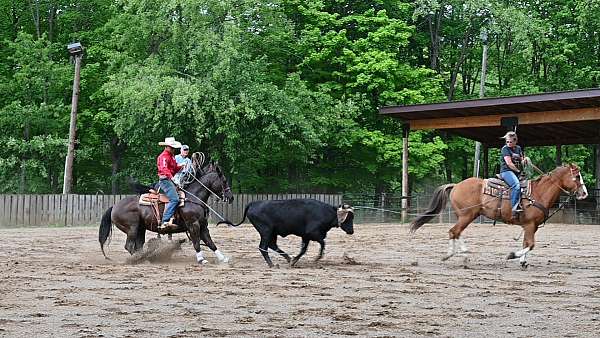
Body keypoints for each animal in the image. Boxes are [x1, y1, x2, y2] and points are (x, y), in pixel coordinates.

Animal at [98, 158, 232, 264]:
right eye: (224, 181)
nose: (231, 197)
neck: (193, 197)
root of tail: (114, 207)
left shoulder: (203, 225)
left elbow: (210, 242)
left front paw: (223, 258)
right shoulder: (193, 225)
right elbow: (197, 242)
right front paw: (201, 259)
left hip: (141, 229)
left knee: (138, 246)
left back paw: (144, 257)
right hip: (132, 228)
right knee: (129, 246)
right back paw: (143, 259)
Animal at [218, 198, 354, 266]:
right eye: (349, 218)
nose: (351, 231)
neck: (326, 212)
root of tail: (253, 204)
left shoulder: (305, 236)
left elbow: (304, 249)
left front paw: (294, 260)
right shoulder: (312, 233)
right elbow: (322, 243)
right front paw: (317, 258)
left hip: (272, 233)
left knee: (272, 245)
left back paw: (287, 258)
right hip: (266, 231)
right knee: (263, 247)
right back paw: (272, 264)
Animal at [410, 164, 588, 270]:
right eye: (577, 176)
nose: (584, 193)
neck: (538, 193)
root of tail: (456, 185)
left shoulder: (530, 226)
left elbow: (526, 243)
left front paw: (523, 261)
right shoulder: (530, 225)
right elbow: (531, 244)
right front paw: (512, 255)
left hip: (467, 216)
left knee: (456, 232)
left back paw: (457, 256)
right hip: (467, 216)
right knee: (454, 232)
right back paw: (461, 257)